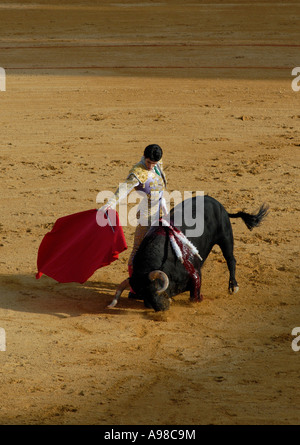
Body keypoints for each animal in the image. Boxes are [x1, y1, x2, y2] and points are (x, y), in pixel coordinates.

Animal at [109, 196, 268, 310]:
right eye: (141, 294)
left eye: (155, 289)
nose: (161, 308)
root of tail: (218, 204)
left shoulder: (195, 274)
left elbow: (194, 295)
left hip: (226, 237)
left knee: (231, 260)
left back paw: (233, 287)